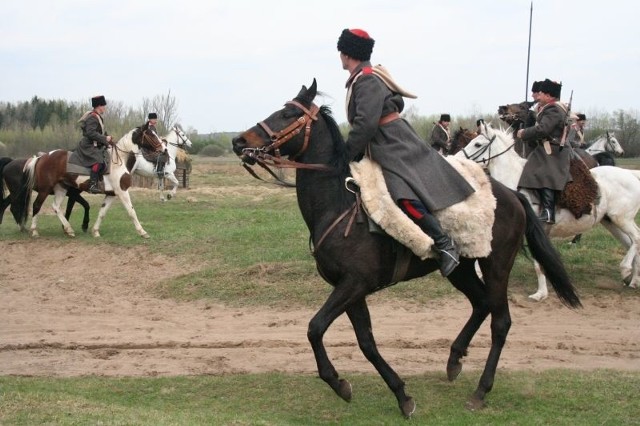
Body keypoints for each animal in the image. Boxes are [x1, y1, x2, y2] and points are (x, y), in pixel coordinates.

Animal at [15, 130, 151, 238]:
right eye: (151, 134)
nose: (159, 149)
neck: (118, 160)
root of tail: (41, 157)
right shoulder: (122, 191)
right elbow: (131, 211)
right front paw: (142, 232)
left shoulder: (112, 194)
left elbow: (102, 212)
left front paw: (95, 231)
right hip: (45, 189)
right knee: (37, 205)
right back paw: (34, 231)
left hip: (61, 188)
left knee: (56, 207)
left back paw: (69, 229)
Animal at [232, 79, 584, 416]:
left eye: (288, 114)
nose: (239, 142)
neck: (339, 206)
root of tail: (512, 195)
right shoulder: (350, 289)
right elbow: (366, 342)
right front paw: (400, 394)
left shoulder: (354, 284)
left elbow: (315, 328)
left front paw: (339, 382)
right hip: (461, 269)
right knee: (481, 304)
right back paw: (454, 359)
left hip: (496, 266)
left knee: (501, 322)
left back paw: (480, 391)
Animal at [456, 125, 640, 302]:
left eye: (477, 144)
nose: (456, 159)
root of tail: (631, 174)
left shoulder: (536, 231)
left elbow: (538, 263)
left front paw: (541, 293)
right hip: (611, 223)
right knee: (631, 243)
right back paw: (633, 279)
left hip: (622, 219)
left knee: (636, 239)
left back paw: (626, 269)